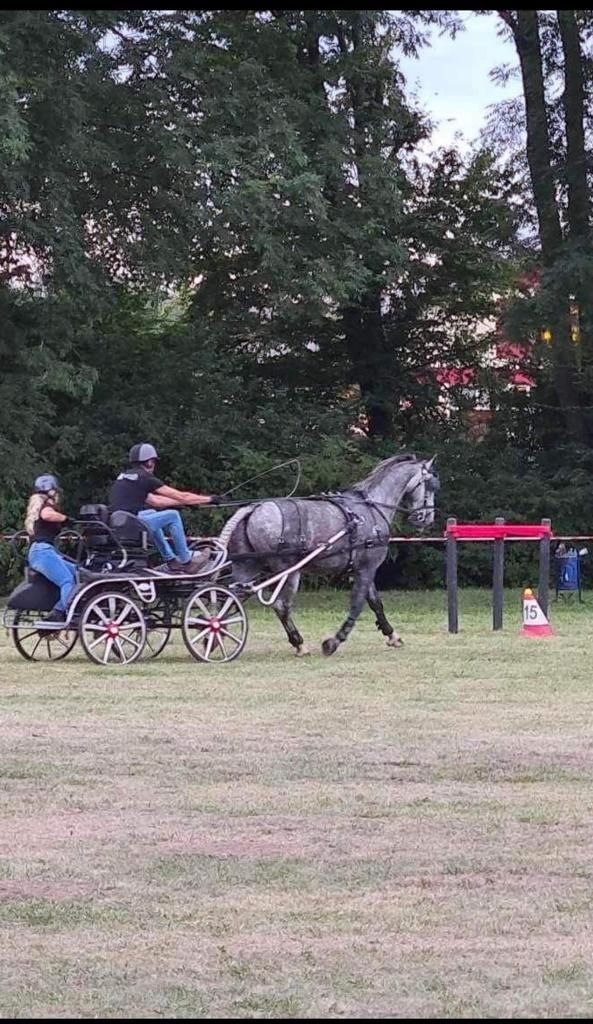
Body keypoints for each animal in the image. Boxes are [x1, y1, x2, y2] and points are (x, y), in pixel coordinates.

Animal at [219, 454, 440, 655]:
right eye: (431, 485)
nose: (428, 518)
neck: (372, 508)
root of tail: (254, 508)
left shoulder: (360, 569)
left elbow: (376, 603)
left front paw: (392, 635)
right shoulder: (367, 568)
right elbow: (358, 604)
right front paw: (334, 641)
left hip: (246, 566)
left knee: (230, 597)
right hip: (289, 571)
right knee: (281, 606)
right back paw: (299, 644)